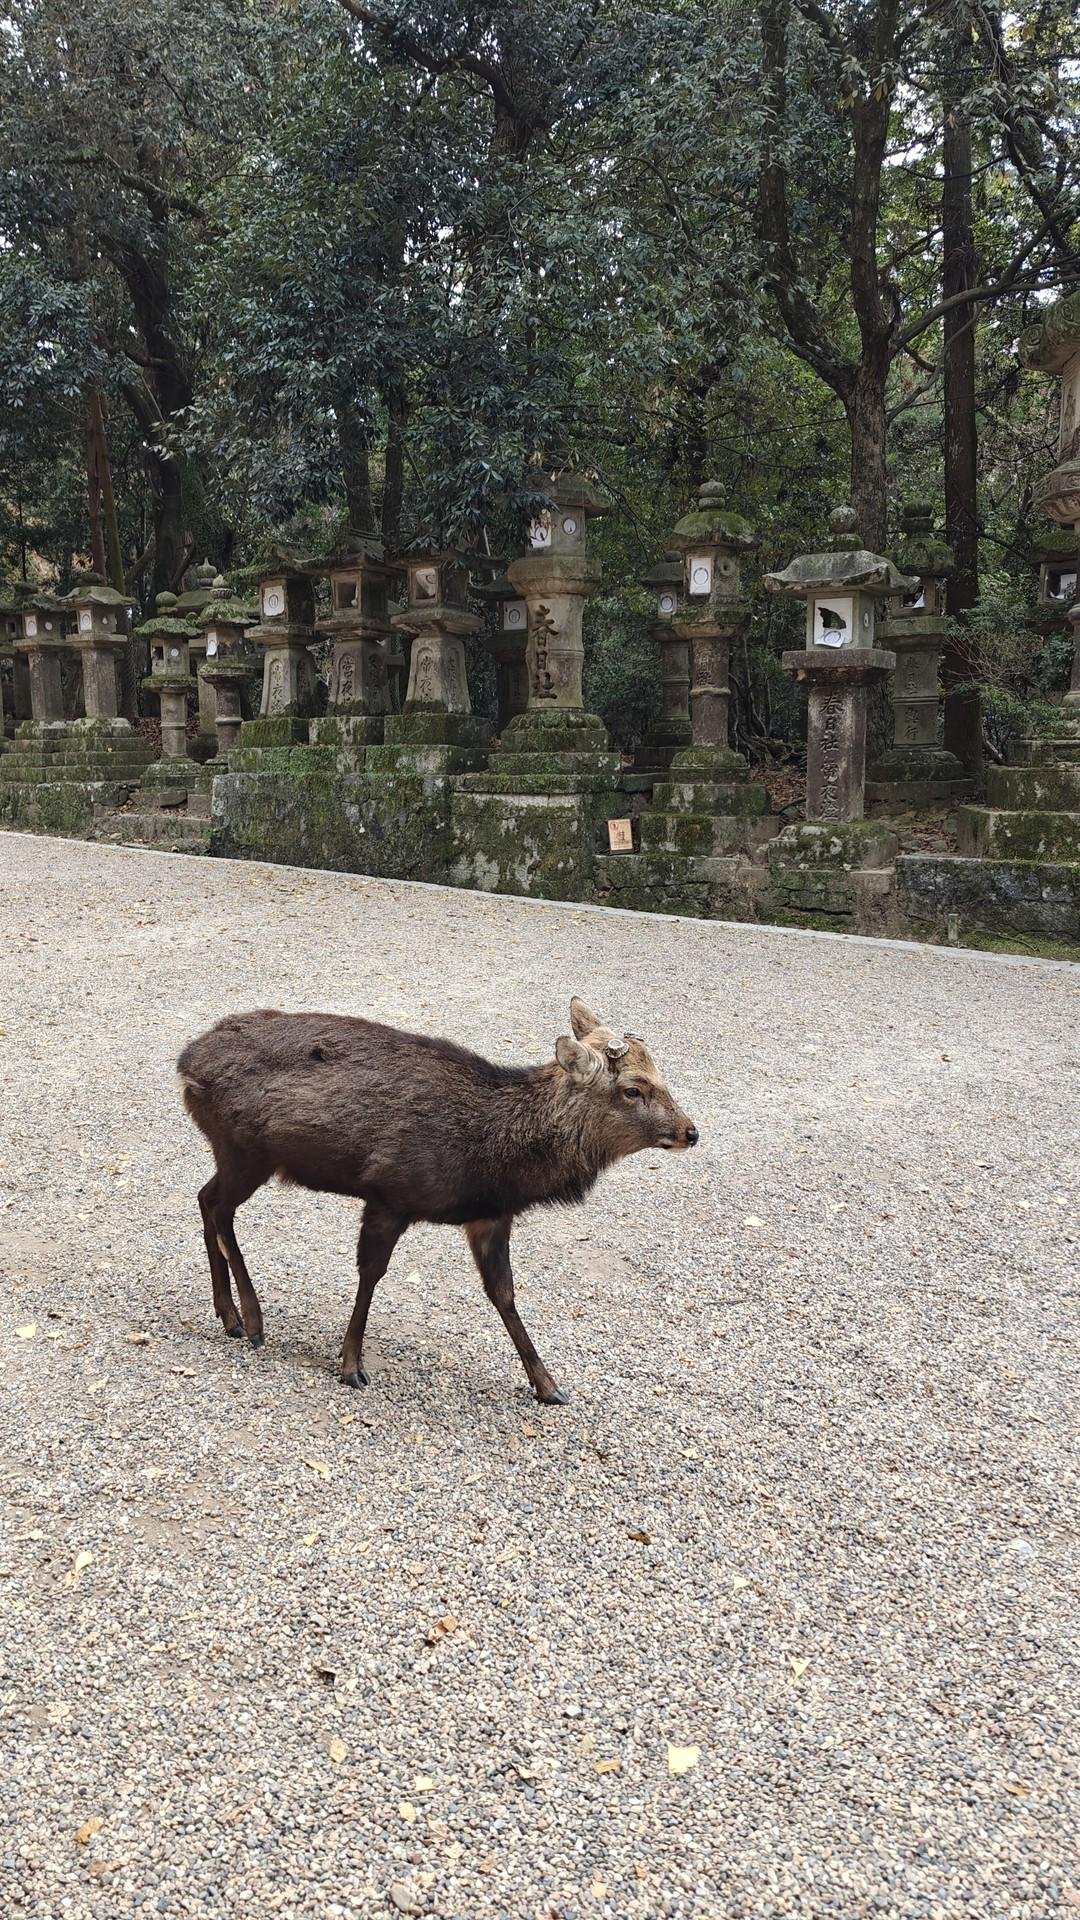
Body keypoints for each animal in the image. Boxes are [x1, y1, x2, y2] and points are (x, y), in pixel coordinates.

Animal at [177, 996, 698, 1404]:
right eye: (632, 1089)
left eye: (661, 1075)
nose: (690, 1131)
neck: (495, 1163)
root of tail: (185, 1064)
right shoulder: (390, 1192)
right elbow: (371, 1273)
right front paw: (351, 1365)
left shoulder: (491, 1217)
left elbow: (504, 1293)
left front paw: (548, 1385)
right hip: (245, 1151)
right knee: (218, 1207)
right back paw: (251, 1318)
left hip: (236, 1155)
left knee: (205, 1199)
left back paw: (227, 1314)